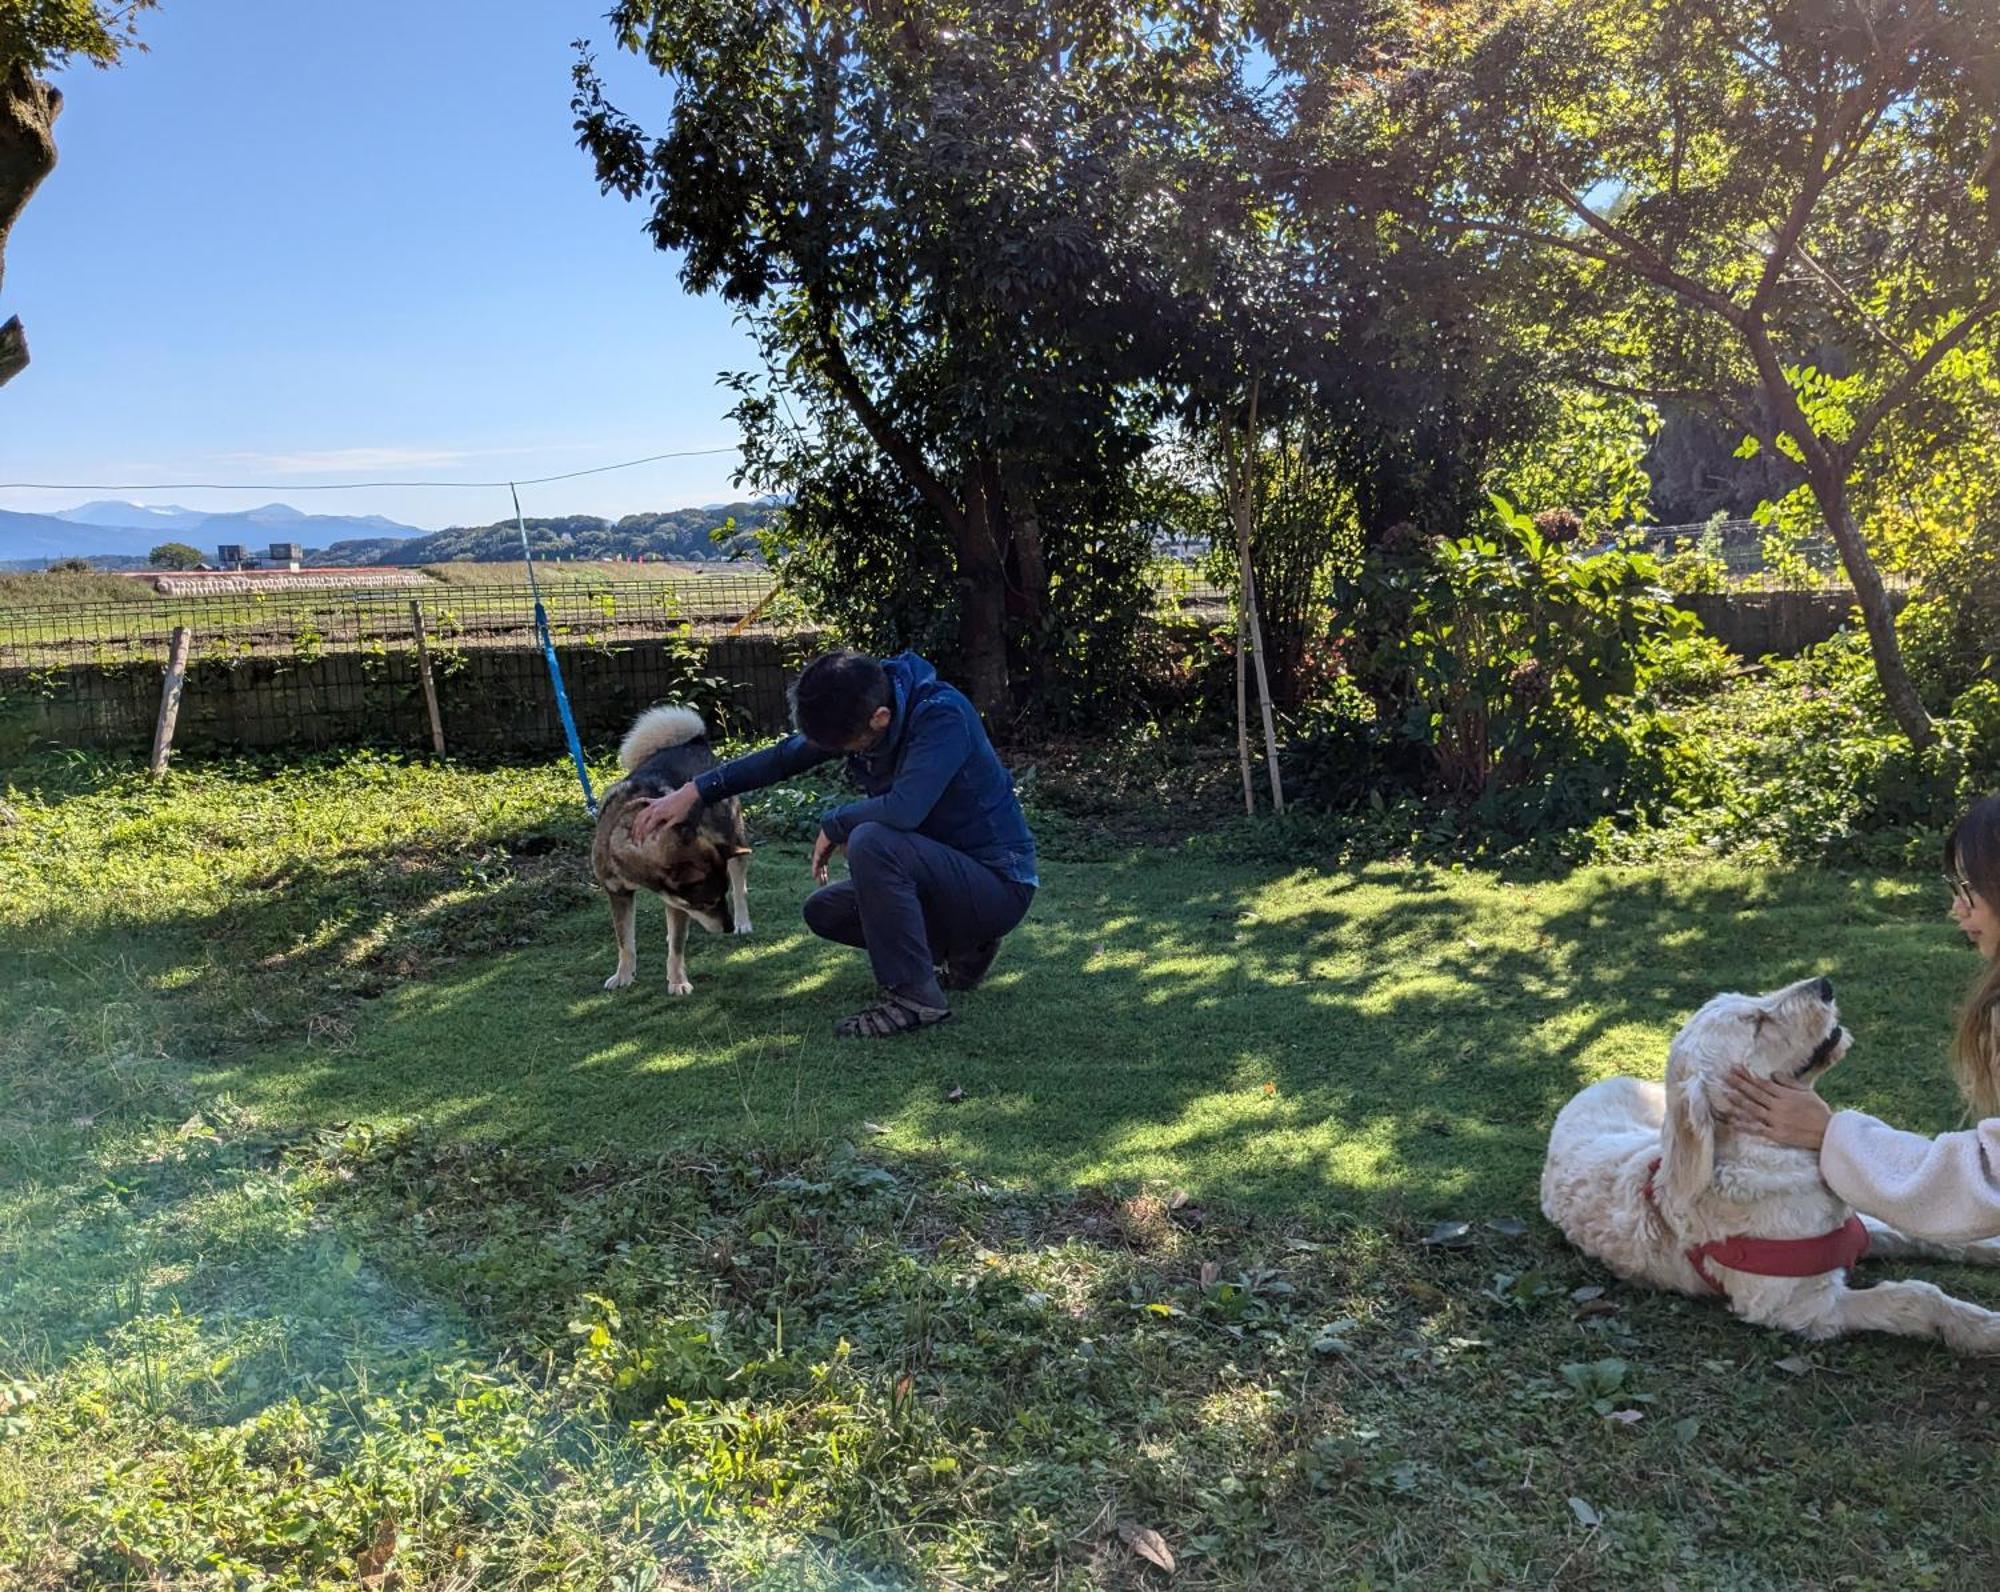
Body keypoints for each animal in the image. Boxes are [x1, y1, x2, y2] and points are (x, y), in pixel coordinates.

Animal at [592, 708, 756, 996]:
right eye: (707, 903)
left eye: (717, 899)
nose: (726, 927)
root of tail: (696, 741)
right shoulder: (618, 894)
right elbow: (625, 941)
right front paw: (623, 975)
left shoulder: (676, 902)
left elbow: (677, 948)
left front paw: (677, 981)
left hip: (731, 836)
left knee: (740, 886)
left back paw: (742, 922)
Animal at [1544, 976, 2000, 1352]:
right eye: (1756, 1023)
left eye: (1753, 1001)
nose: (1825, 984)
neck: (1770, 1156)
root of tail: (1591, 1086)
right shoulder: (1804, 1308)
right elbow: (1913, 1296)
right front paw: (1984, 1330)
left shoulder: (1855, 1229)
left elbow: (1930, 1234)